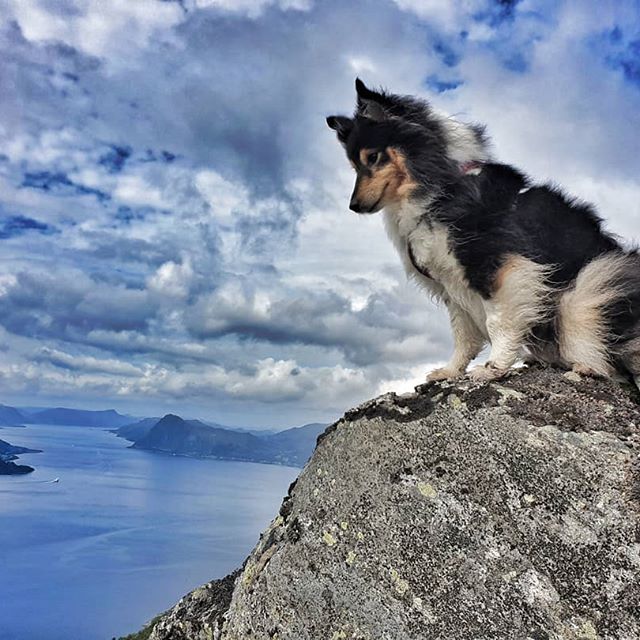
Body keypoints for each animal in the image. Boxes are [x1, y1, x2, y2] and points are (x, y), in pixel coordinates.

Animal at [328, 79, 636, 384]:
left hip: (591, 282)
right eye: (354, 166)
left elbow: (496, 320)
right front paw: (450, 371)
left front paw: (494, 367)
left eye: (373, 157)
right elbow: (462, 333)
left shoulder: (499, 264)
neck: (443, 188)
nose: (354, 206)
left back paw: (584, 367)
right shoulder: (449, 281)